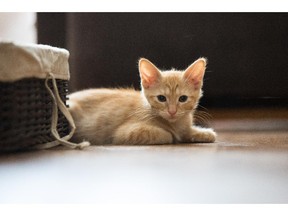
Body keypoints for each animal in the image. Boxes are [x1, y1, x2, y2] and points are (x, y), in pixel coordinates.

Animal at [67, 57, 216, 145]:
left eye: (183, 98)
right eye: (161, 98)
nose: (172, 111)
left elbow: (187, 132)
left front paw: (202, 133)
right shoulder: (125, 133)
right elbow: (167, 135)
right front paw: (173, 136)